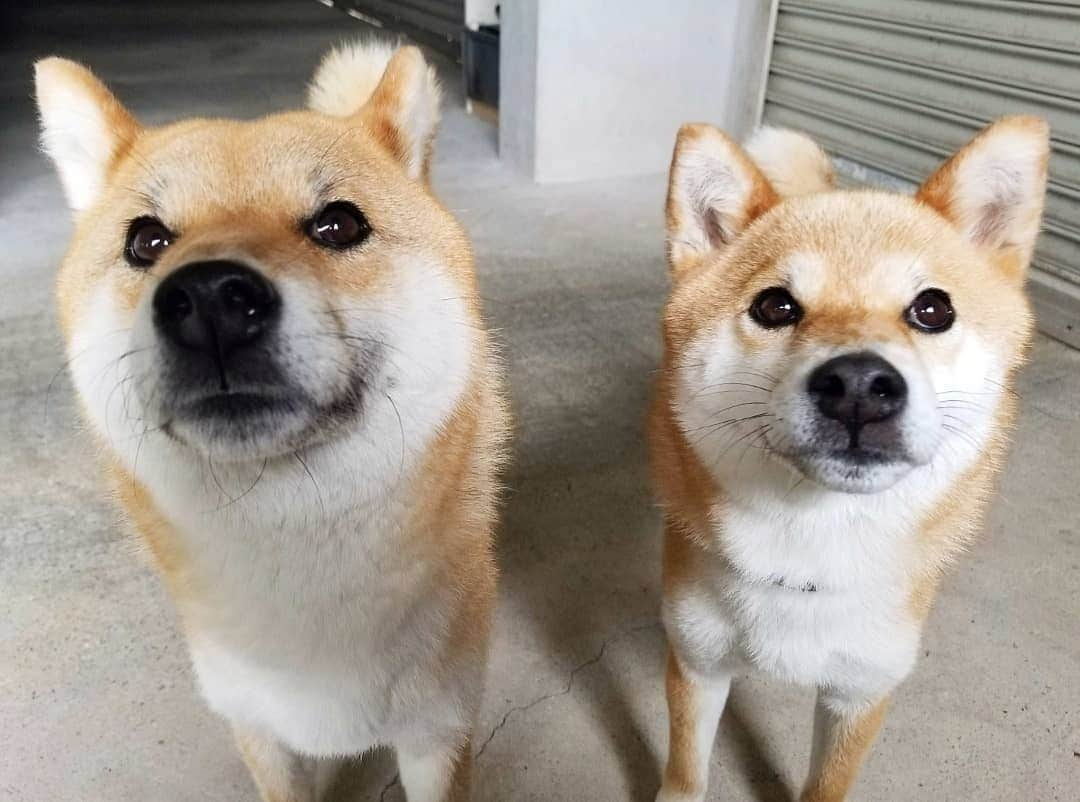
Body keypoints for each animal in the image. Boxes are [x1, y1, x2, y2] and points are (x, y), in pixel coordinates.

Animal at [648, 119, 1045, 802]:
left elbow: (826, 784)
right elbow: (686, 772)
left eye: (933, 309)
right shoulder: (698, 664)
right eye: (775, 306)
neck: (809, 551)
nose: (859, 385)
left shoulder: (860, 694)